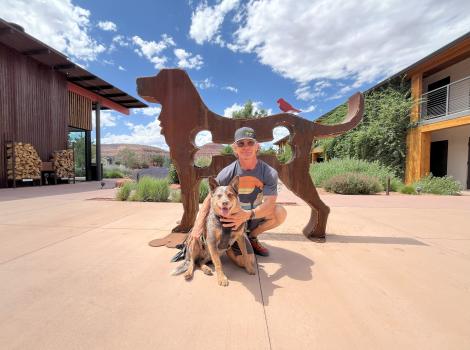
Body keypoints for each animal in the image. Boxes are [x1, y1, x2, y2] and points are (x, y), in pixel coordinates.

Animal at [136, 68, 364, 239]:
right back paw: (311, 231)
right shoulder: (193, 174)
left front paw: (182, 228)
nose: (137, 80)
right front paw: (188, 226)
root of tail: (308, 124)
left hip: (295, 175)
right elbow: (191, 204)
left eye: (158, 76)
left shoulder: (185, 169)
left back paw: (316, 235)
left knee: (322, 207)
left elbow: (187, 203)